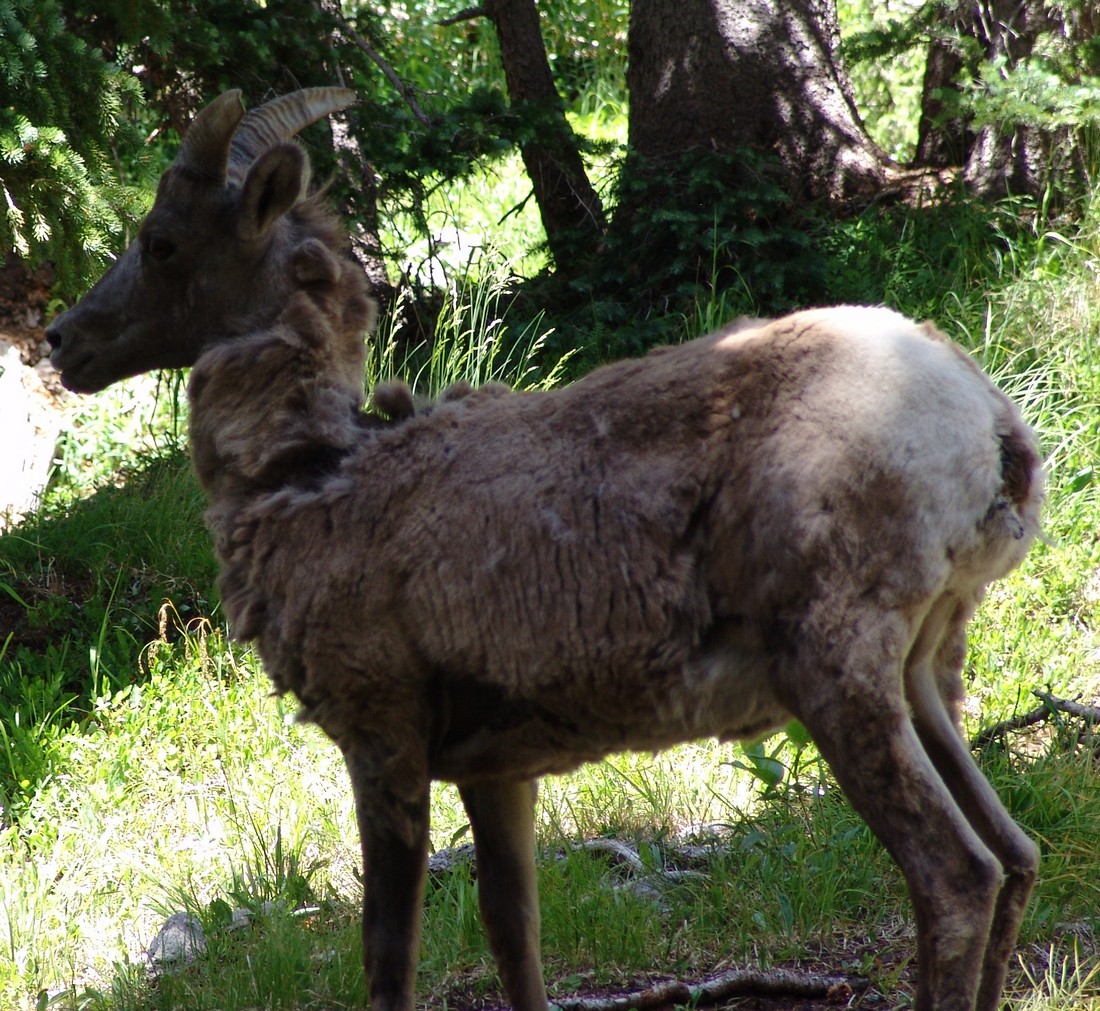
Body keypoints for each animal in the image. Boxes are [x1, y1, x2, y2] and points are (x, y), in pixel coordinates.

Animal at [45, 89, 1038, 1011]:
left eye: (162, 241)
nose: (63, 340)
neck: (305, 478)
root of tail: (991, 433)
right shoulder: (497, 765)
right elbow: (514, 933)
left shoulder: (382, 733)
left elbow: (389, 956)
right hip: (924, 671)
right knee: (1017, 852)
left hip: (838, 668)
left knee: (958, 876)